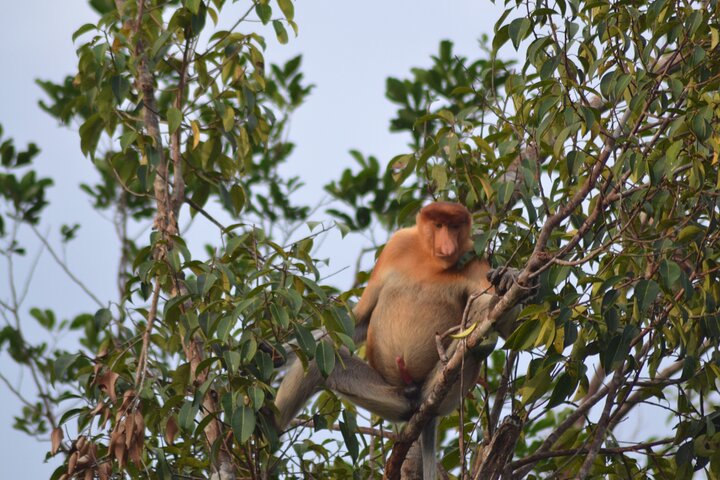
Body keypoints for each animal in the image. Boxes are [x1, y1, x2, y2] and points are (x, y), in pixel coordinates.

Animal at [275, 202, 527, 479]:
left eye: (454, 227)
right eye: (439, 225)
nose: (448, 246)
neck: (430, 260)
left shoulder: (474, 259)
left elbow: (504, 324)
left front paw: (508, 279)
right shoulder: (396, 245)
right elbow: (358, 320)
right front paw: (272, 353)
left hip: (447, 393)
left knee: (474, 329)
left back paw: (476, 348)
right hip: (388, 396)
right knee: (319, 359)